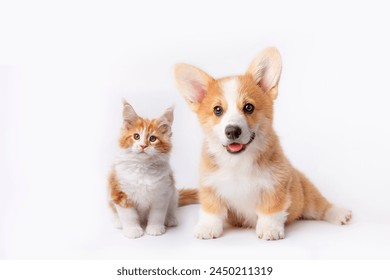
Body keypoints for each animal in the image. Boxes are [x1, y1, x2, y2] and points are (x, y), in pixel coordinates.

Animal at [108, 100, 178, 238]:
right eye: (136, 136)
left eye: (152, 139)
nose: (143, 146)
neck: (142, 167)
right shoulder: (119, 192)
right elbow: (128, 216)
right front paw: (132, 230)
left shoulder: (162, 192)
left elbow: (157, 214)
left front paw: (155, 228)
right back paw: (118, 222)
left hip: (173, 194)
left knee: (172, 207)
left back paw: (170, 219)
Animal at [174, 47, 350, 240]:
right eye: (217, 110)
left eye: (248, 107)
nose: (232, 131)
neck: (237, 161)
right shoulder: (209, 186)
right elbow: (211, 210)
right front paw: (207, 228)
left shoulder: (274, 185)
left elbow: (270, 209)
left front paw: (269, 229)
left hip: (307, 196)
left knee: (321, 206)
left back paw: (340, 214)